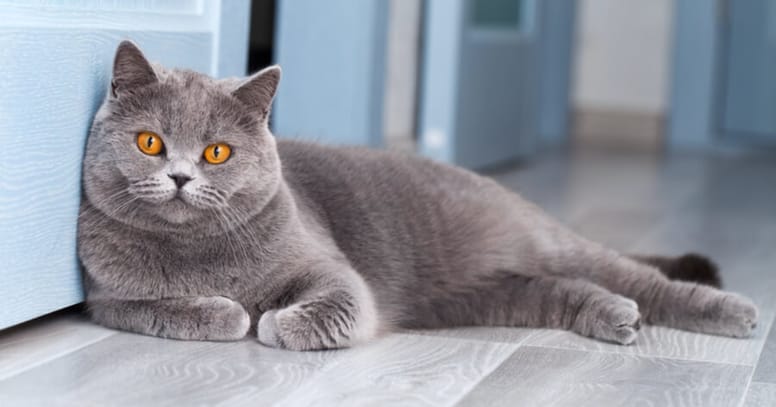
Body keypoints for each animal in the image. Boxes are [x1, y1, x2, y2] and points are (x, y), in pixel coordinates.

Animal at [79, 42, 756, 354]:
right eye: (150, 142)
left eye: (217, 152)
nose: (180, 177)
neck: (198, 254)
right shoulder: (107, 299)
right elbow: (165, 310)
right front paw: (231, 312)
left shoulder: (330, 269)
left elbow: (334, 303)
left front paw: (274, 321)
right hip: (486, 295)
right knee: (567, 290)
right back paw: (616, 317)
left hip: (546, 244)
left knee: (639, 278)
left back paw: (734, 313)